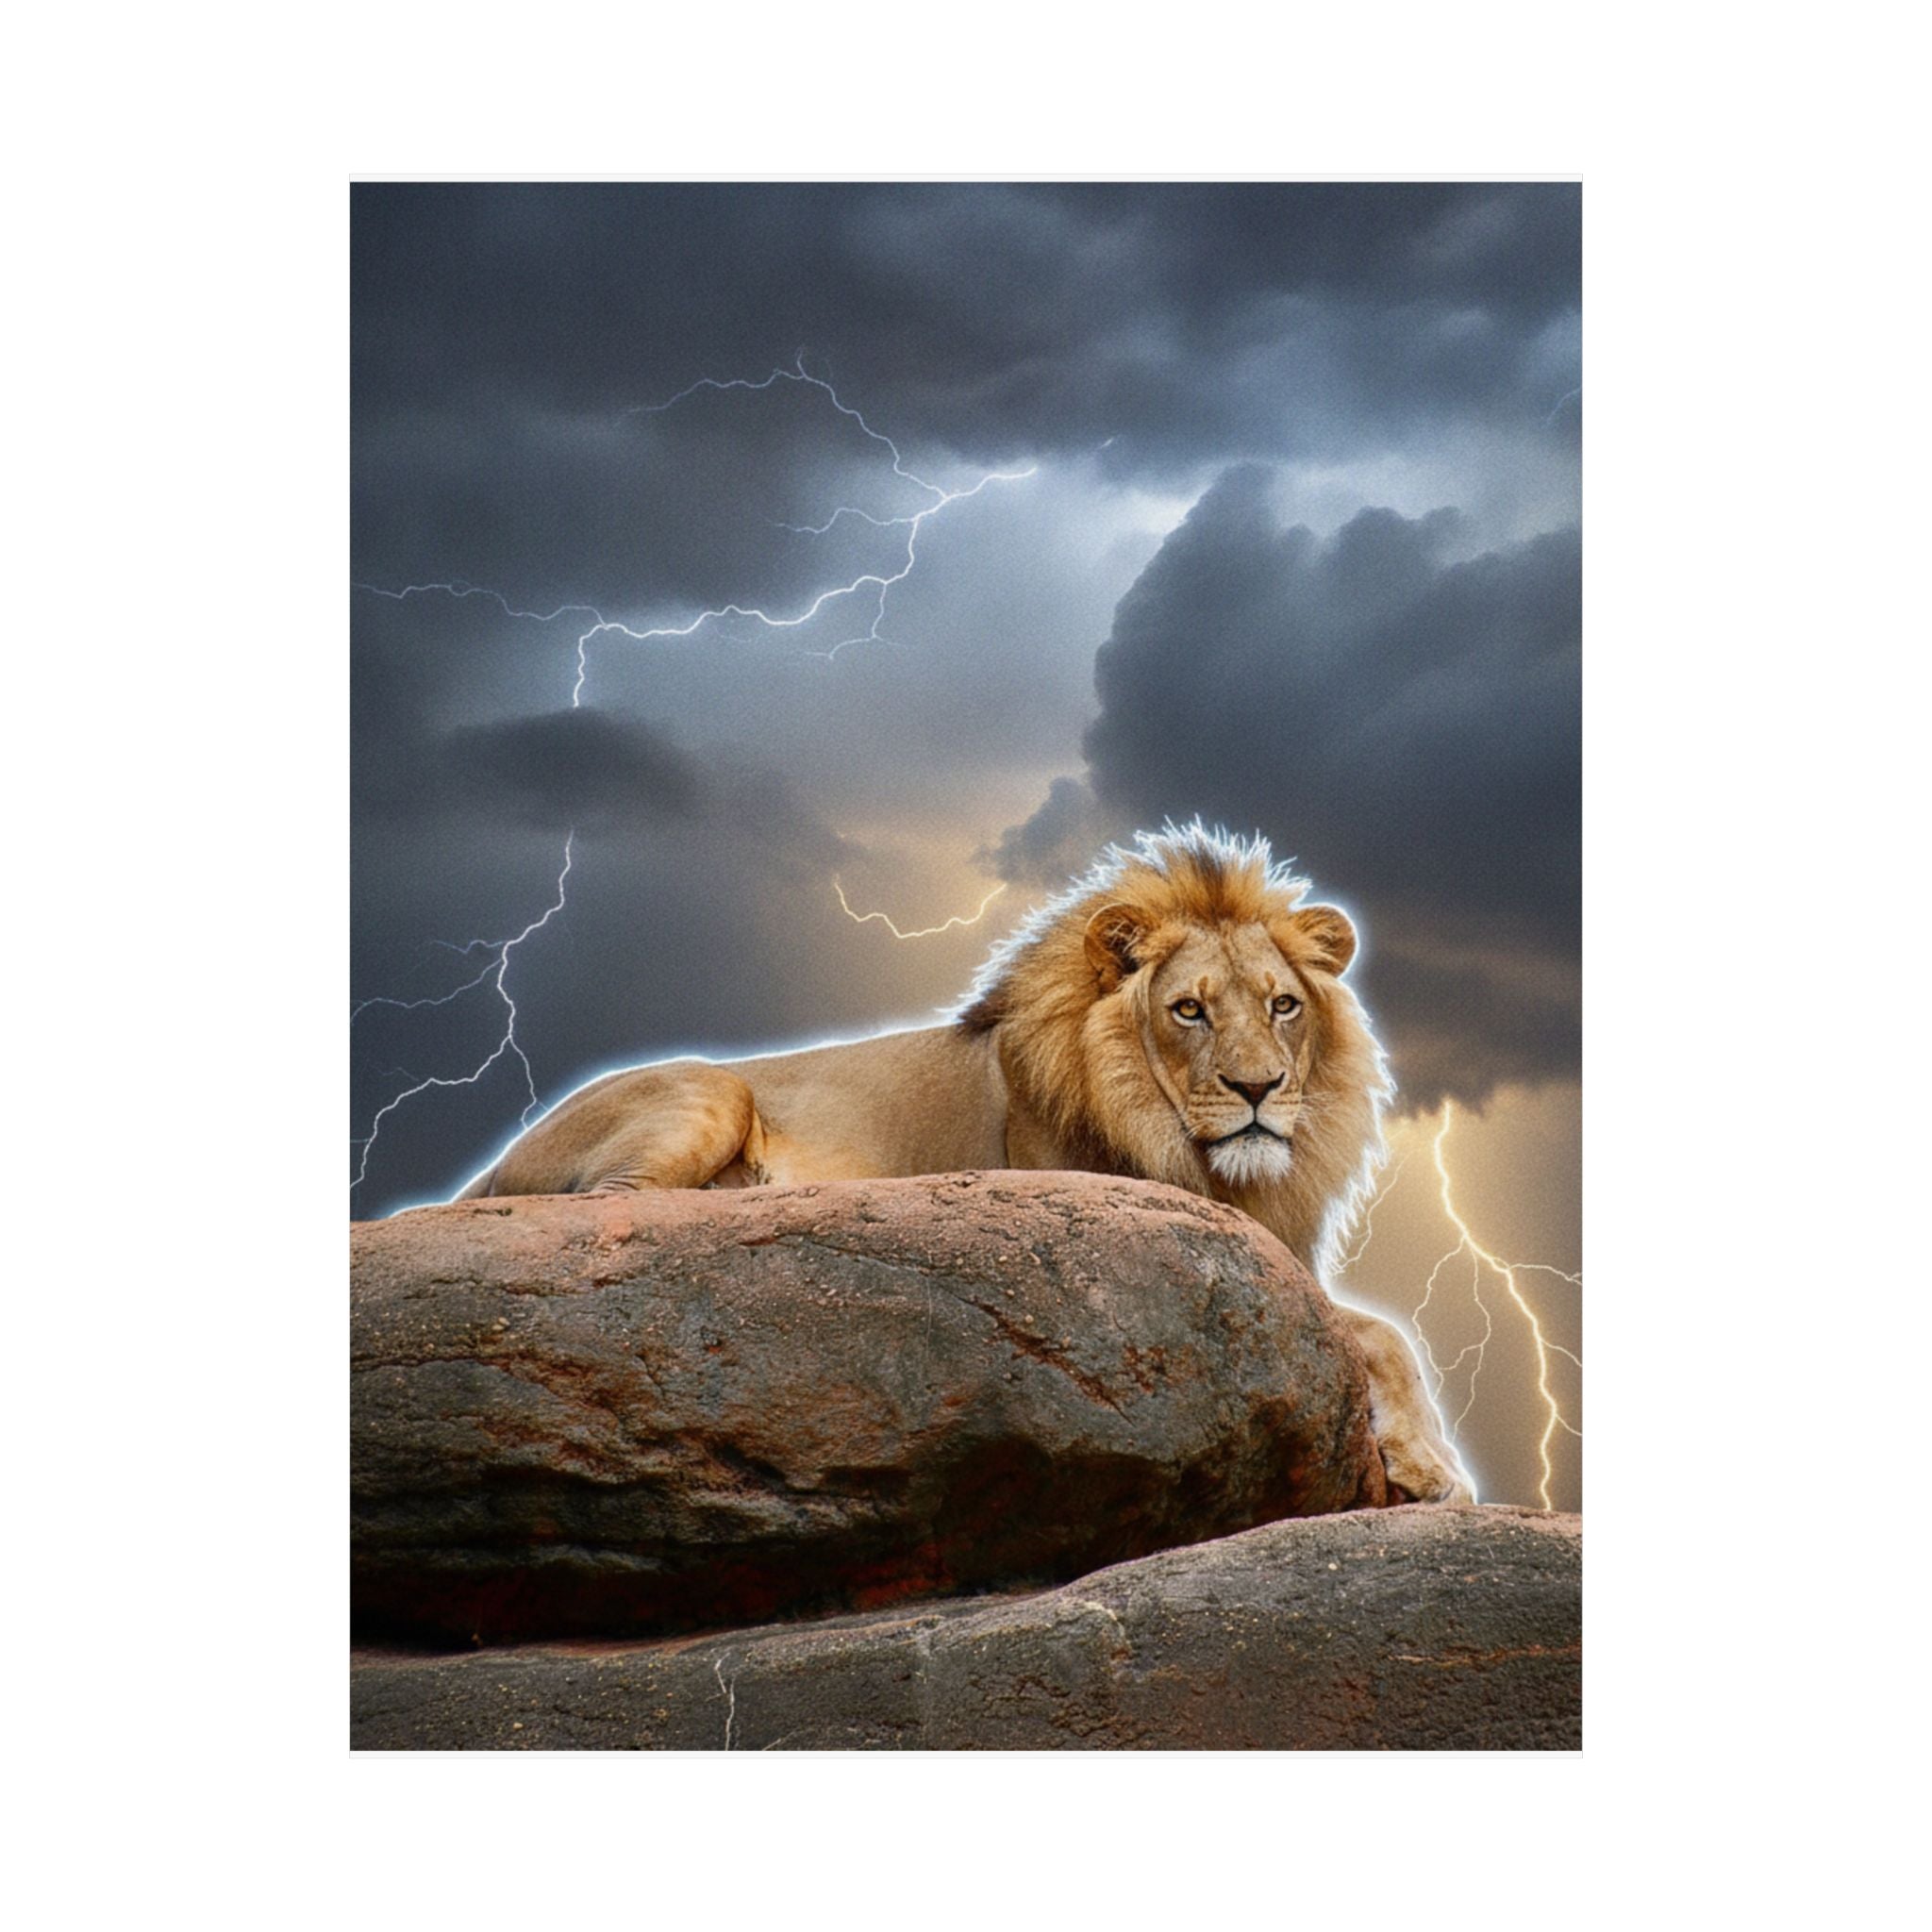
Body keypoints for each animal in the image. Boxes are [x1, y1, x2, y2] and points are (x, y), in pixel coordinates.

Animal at [456, 823, 1473, 1503]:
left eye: (1282, 1005)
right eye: (1188, 1009)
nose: (1258, 1088)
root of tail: (497, 1156)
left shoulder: (1279, 1252)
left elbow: (1389, 1333)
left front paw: (1430, 1465)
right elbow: (1375, 1330)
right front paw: (1436, 1470)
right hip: (710, 1093)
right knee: (614, 1208)